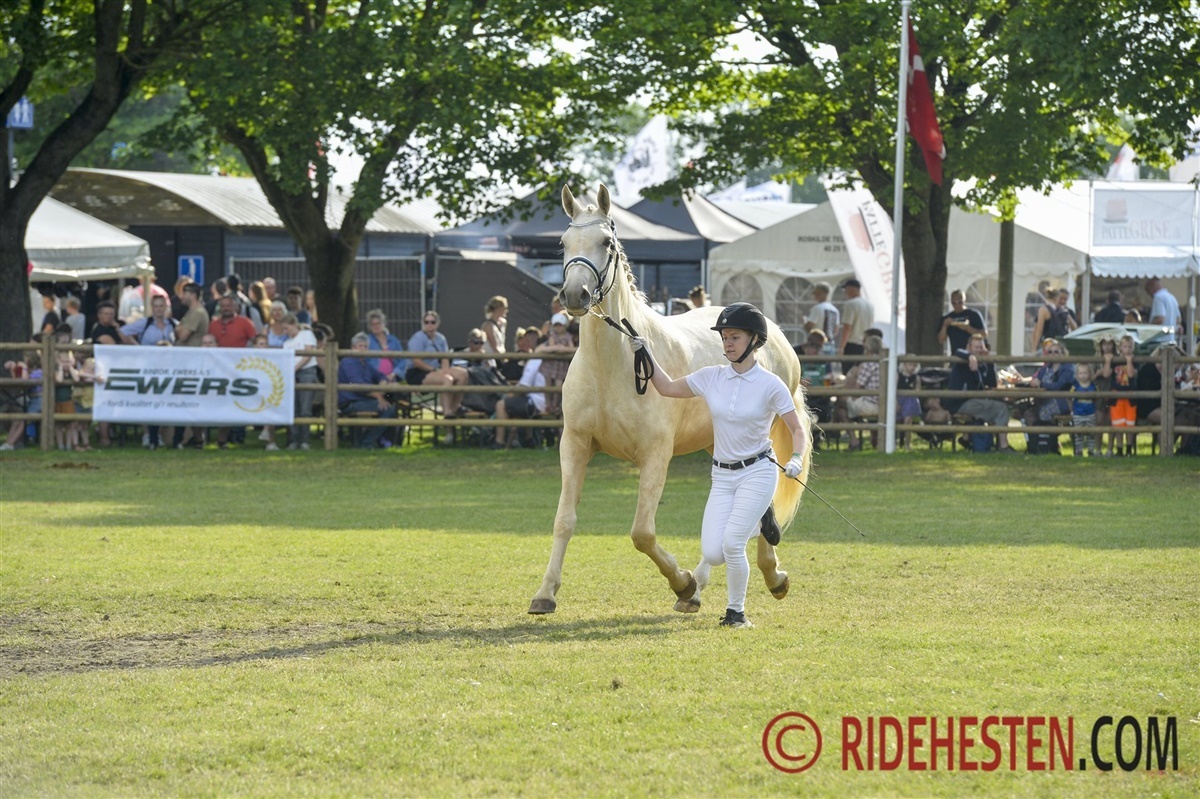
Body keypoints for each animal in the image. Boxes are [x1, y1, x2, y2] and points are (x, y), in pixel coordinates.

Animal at [527, 184, 813, 615]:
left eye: (606, 242)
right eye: (562, 243)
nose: (575, 294)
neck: (613, 365)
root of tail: (777, 335)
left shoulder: (655, 455)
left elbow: (642, 533)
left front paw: (681, 583)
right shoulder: (574, 446)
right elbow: (565, 520)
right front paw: (545, 594)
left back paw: (766, 575)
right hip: (718, 443)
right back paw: (712, 582)